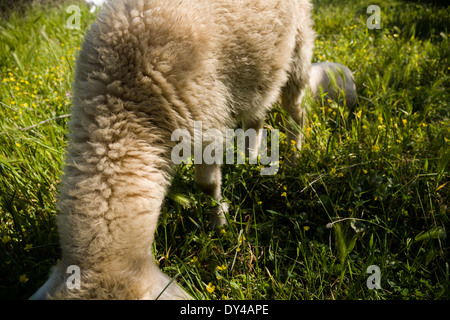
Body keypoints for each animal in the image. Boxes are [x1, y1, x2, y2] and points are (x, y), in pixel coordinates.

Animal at [29, 0, 314, 300]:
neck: (121, 105)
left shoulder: (207, 121)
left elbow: (207, 184)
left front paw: (219, 223)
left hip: (299, 43)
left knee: (296, 110)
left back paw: (294, 158)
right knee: (257, 114)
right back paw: (250, 156)